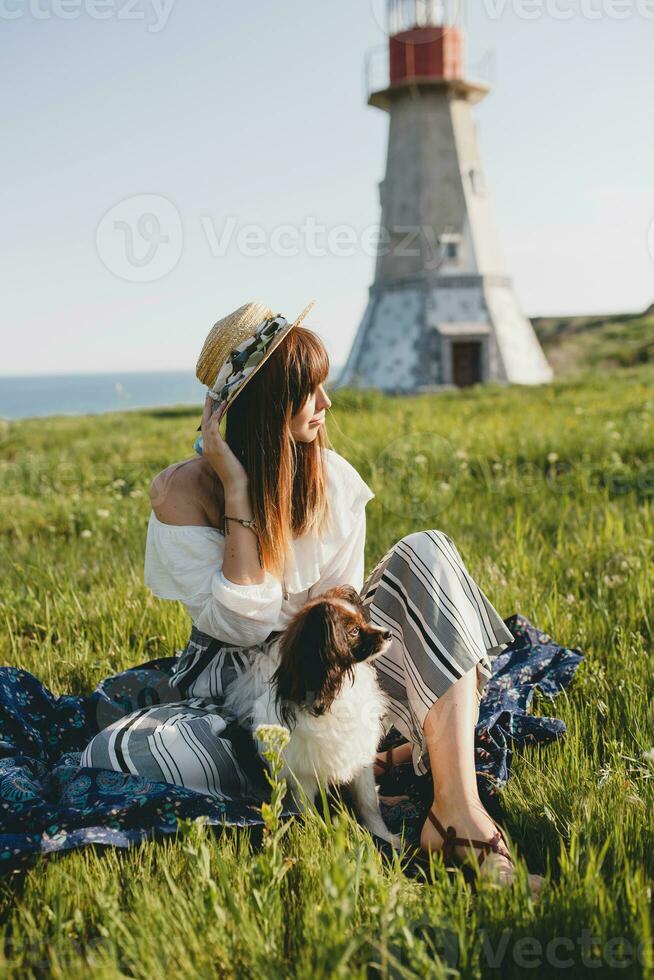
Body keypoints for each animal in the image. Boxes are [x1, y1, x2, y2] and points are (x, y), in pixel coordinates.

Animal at [226, 584, 400, 848]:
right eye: (354, 631)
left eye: (364, 621)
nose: (388, 633)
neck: (335, 690)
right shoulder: (303, 776)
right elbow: (308, 812)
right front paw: (318, 839)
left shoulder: (361, 762)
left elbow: (369, 804)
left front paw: (385, 839)